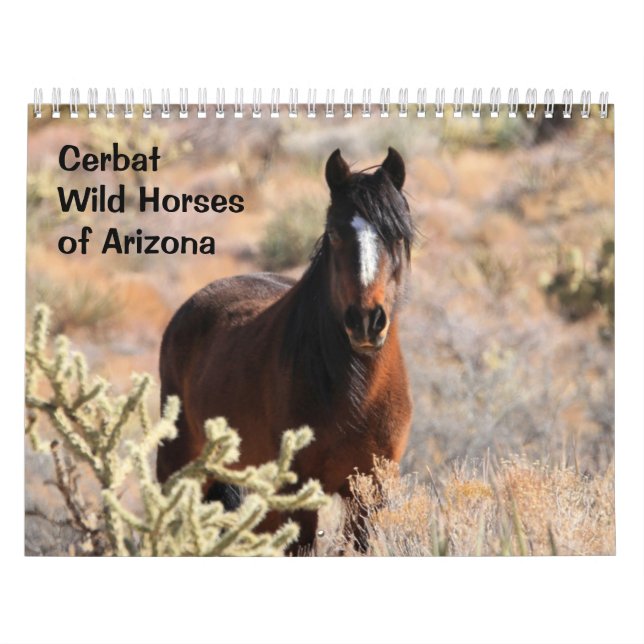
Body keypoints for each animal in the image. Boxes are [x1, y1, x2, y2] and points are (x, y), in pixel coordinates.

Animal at [156, 147, 414, 552]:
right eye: (334, 233)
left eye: (397, 236)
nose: (366, 321)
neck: (353, 393)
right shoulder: (297, 495)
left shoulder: (368, 494)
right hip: (181, 469)